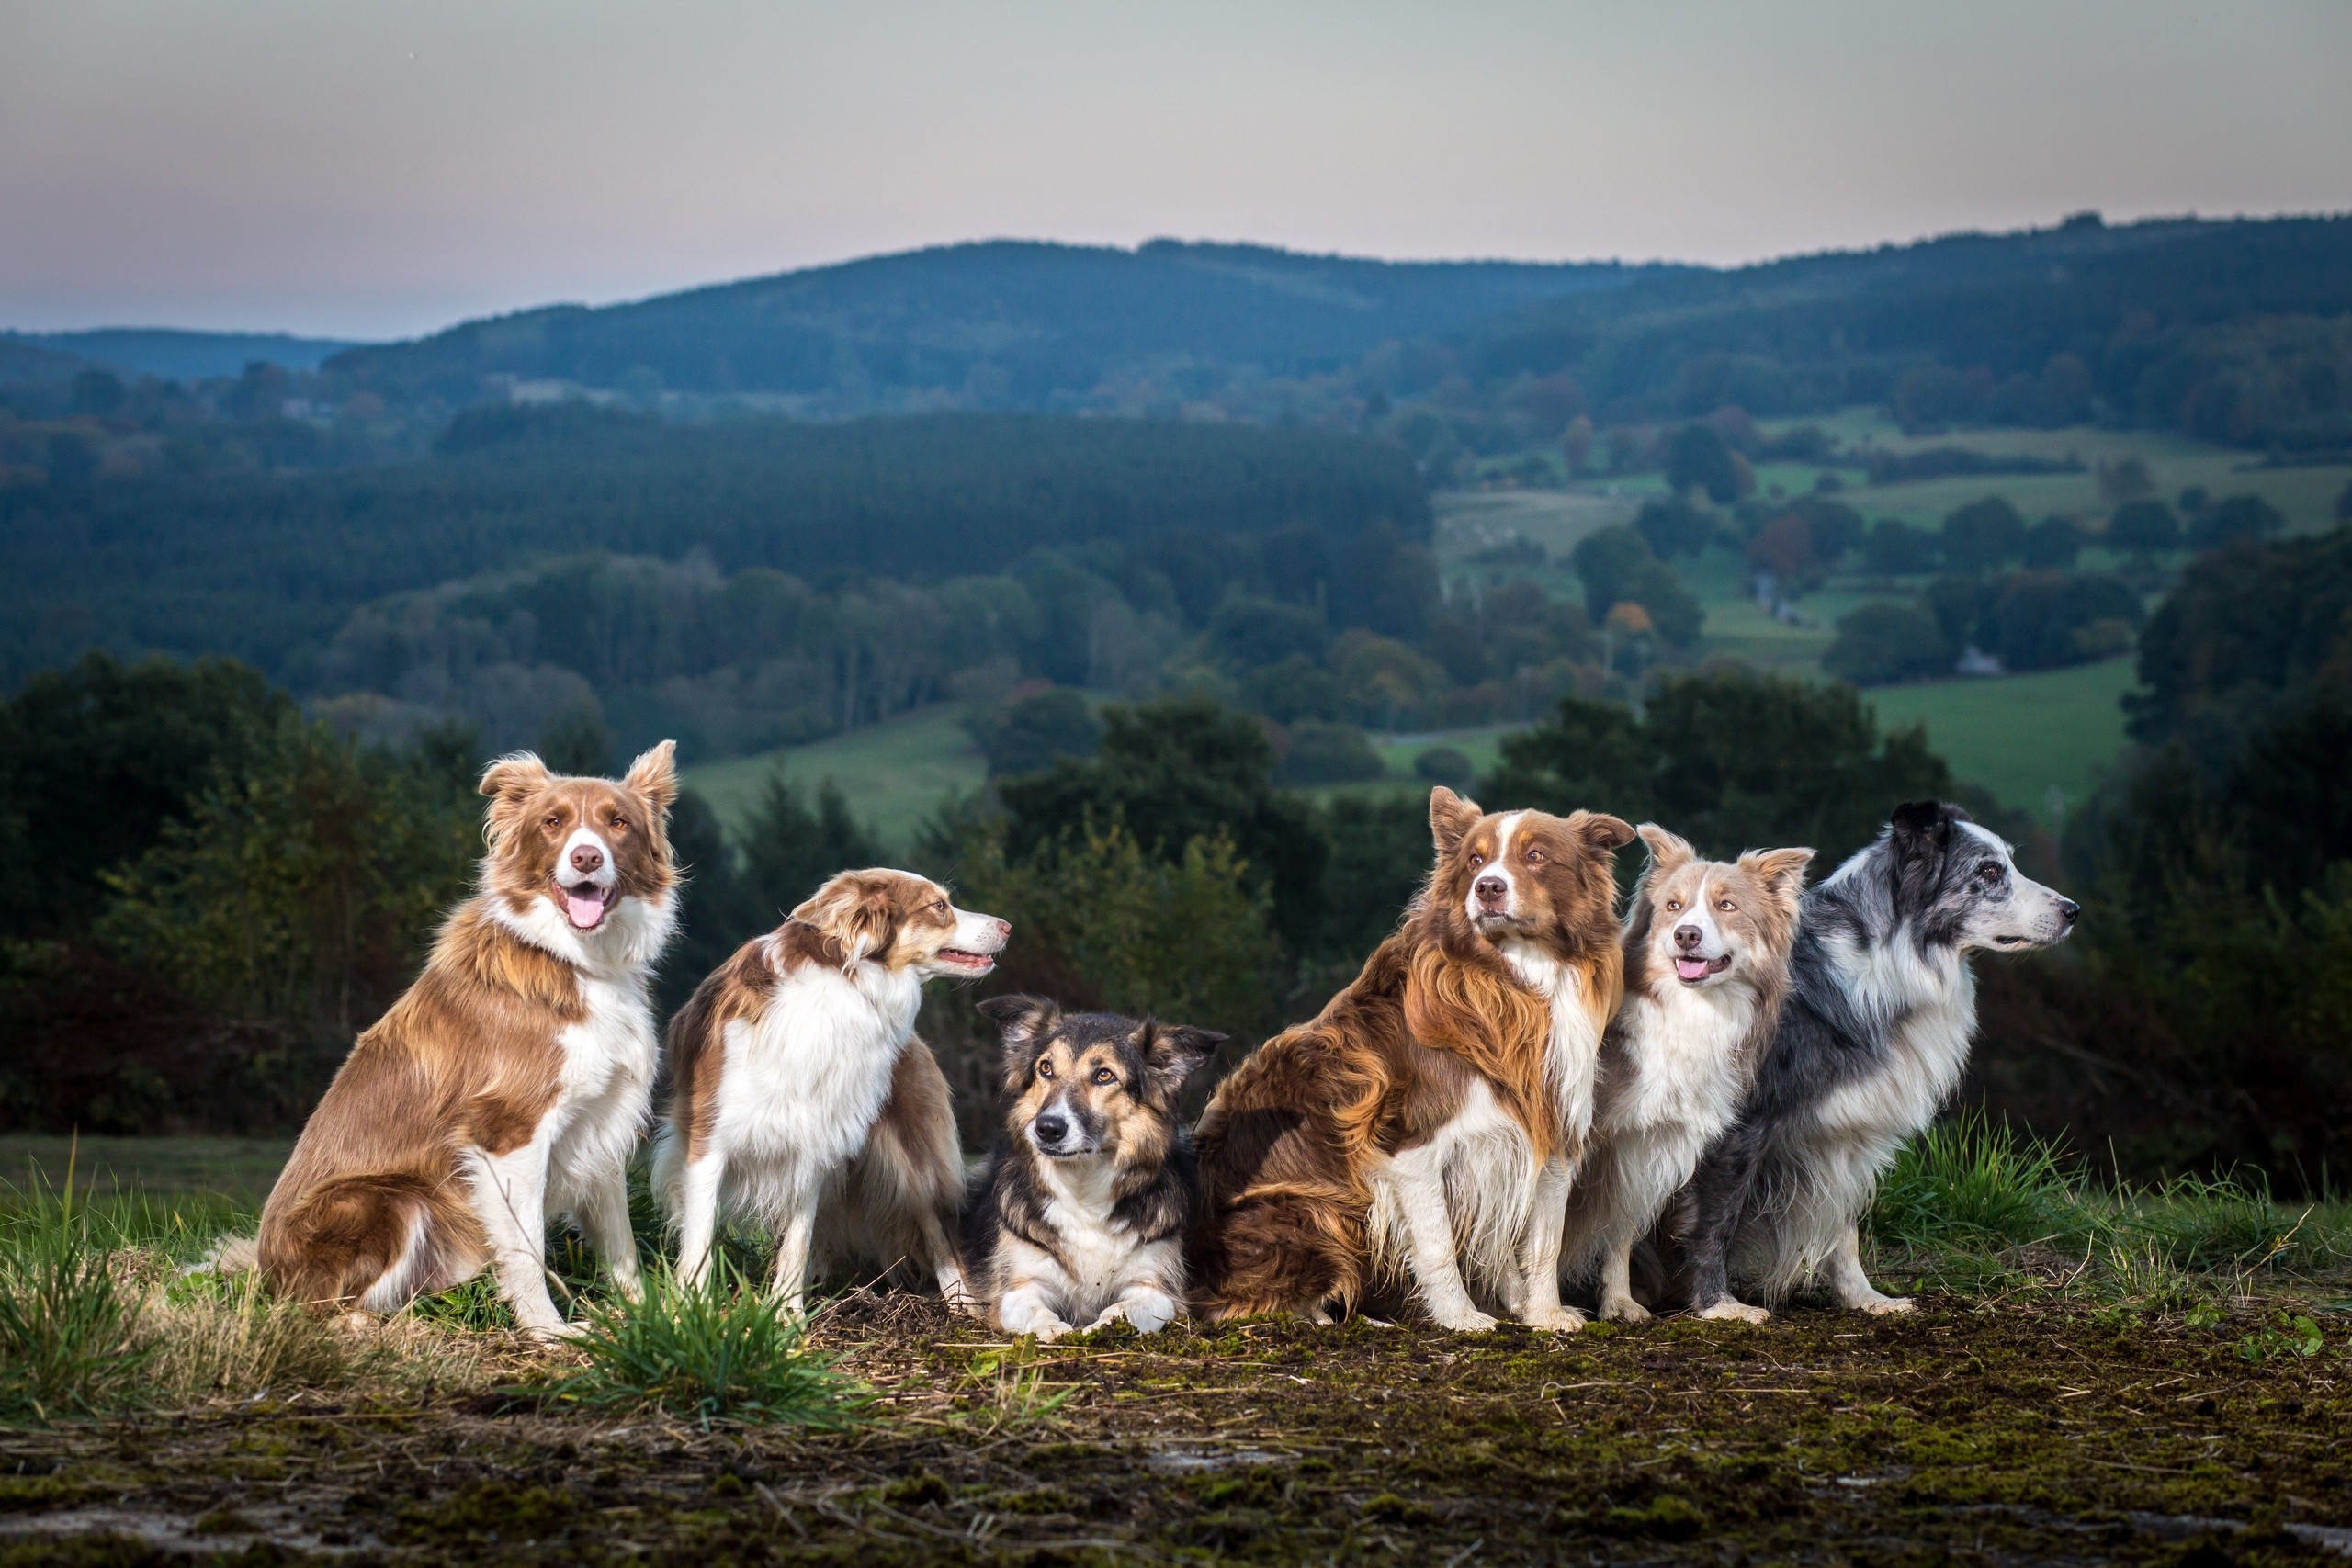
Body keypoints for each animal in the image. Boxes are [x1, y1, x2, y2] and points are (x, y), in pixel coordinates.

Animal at [254, 742, 682, 1335]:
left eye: (617, 822)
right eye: (553, 823)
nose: (586, 859)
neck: (573, 957)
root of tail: (263, 1268)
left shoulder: (602, 1119)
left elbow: (620, 1243)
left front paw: (646, 1319)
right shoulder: (510, 1130)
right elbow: (526, 1247)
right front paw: (550, 1332)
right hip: (391, 1200)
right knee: (318, 1309)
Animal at [653, 869, 1011, 1316]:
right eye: (939, 906)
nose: (1008, 927)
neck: (846, 984)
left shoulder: (814, 1142)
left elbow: (798, 1241)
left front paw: (787, 1316)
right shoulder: (708, 1139)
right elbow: (701, 1235)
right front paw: (692, 1312)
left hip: (913, 1158)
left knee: (937, 1227)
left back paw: (961, 1306)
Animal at [1194, 789, 1636, 1335]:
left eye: (1536, 856)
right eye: (1475, 860)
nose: (1488, 888)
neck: (1516, 979)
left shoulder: (1548, 1129)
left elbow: (1541, 1243)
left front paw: (1543, 1312)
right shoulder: (1412, 1148)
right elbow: (1439, 1243)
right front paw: (1461, 1318)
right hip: (1315, 1210)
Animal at [1674, 799, 2079, 1325]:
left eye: (2008, 862)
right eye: (1989, 871)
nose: (2073, 911)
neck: (1887, 958)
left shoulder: (1841, 1131)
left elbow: (1844, 1227)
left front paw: (1865, 1298)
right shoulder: (1738, 1125)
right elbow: (1715, 1219)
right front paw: (1716, 1305)